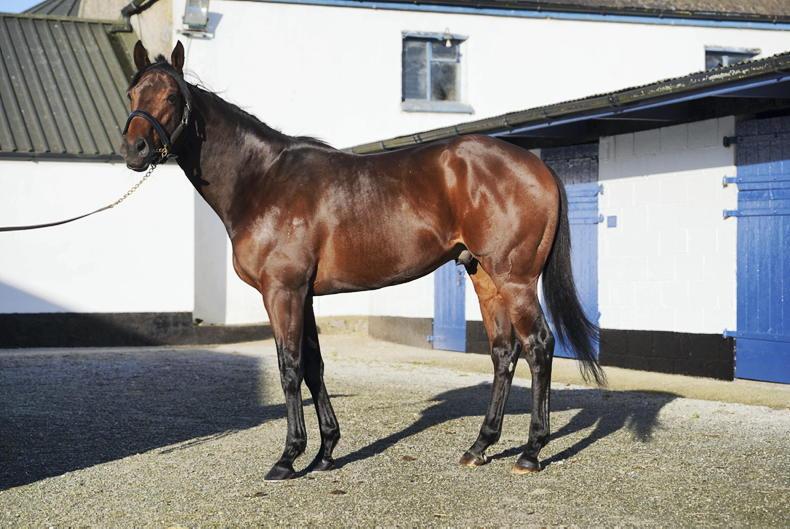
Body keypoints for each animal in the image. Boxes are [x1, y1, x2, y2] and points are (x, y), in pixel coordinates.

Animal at [121, 40, 604, 481]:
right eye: (132, 93)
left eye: (172, 96)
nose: (135, 150)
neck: (262, 181)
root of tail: (536, 166)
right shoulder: (304, 295)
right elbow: (314, 366)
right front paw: (325, 452)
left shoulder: (282, 291)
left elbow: (289, 367)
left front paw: (288, 458)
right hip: (483, 274)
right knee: (504, 351)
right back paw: (479, 446)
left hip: (514, 278)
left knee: (539, 345)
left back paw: (532, 452)